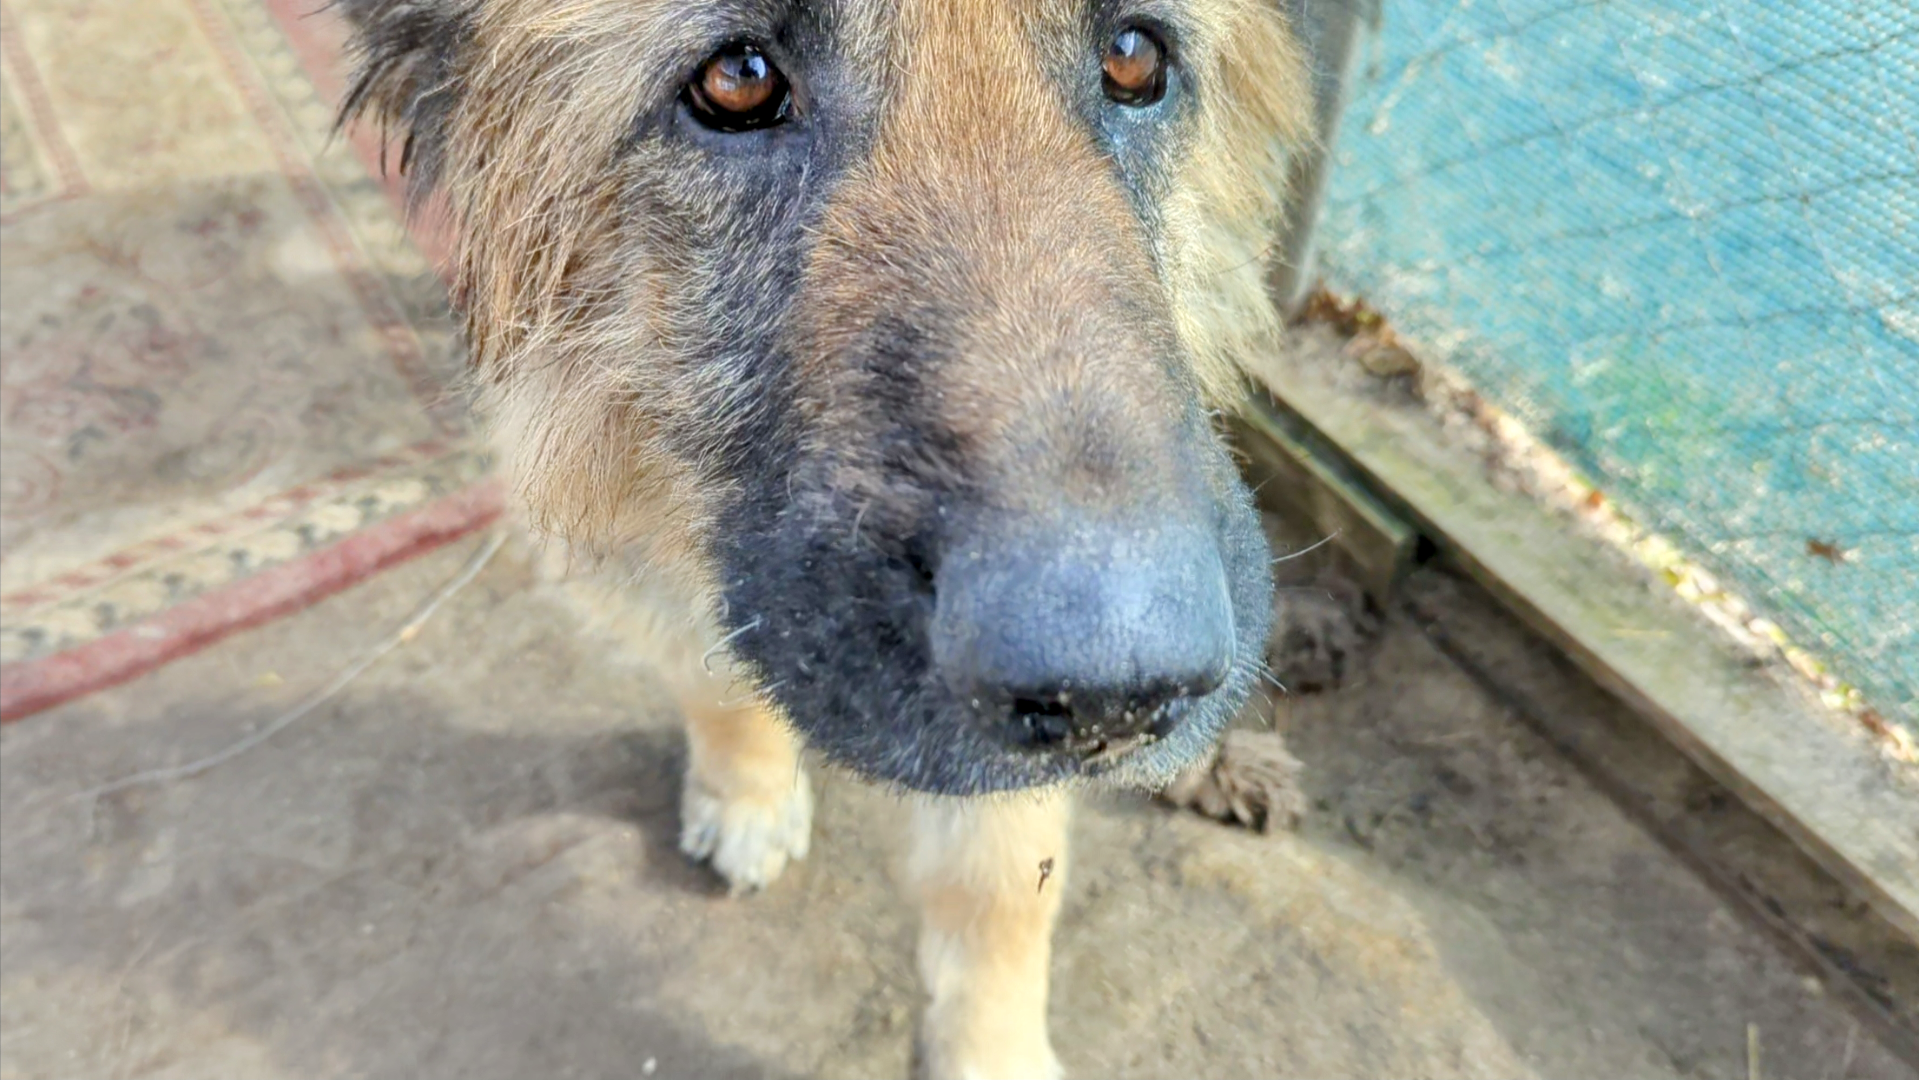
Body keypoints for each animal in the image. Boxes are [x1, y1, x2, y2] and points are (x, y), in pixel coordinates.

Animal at [337, 4, 1312, 1074]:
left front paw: (992, 1046)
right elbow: (709, 668)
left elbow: (1001, 881)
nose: (1118, 691)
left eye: (1134, 59)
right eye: (737, 81)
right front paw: (748, 789)